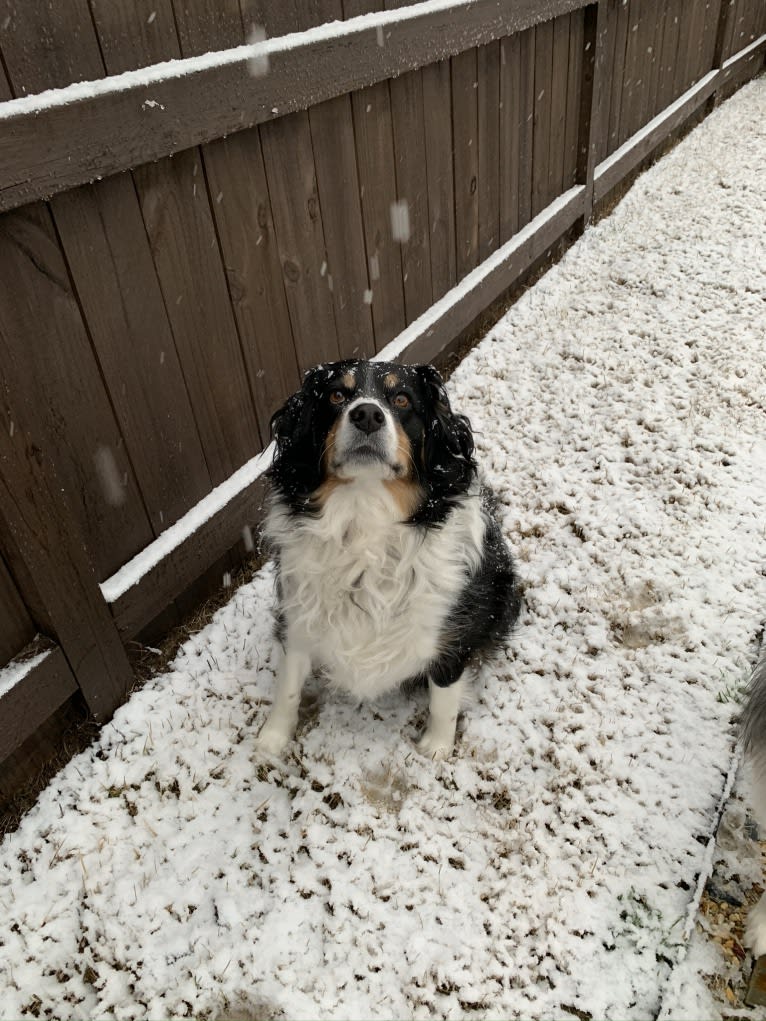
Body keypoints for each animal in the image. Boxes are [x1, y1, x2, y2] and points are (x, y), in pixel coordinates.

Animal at [258, 359, 522, 759]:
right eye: (337, 395)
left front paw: (436, 747)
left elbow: (444, 697)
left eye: (401, 399)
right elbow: (288, 685)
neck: (365, 514)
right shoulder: (297, 612)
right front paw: (272, 738)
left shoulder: (452, 632)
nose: (367, 414)